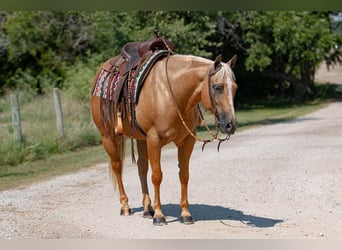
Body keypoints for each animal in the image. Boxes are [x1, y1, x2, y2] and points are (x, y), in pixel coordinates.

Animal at [89, 52, 236, 225]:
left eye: (235, 88)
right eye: (217, 87)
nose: (230, 125)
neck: (172, 93)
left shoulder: (187, 140)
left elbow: (184, 175)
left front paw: (185, 213)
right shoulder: (154, 139)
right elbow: (157, 175)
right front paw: (159, 216)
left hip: (141, 138)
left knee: (141, 167)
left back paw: (147, 209)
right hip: (108, 136)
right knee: (117, 167)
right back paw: (125, 206)